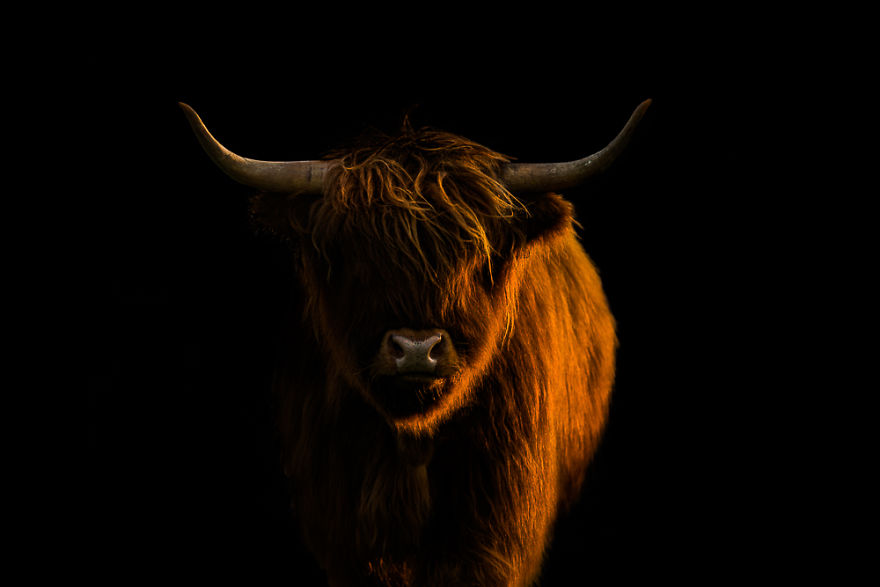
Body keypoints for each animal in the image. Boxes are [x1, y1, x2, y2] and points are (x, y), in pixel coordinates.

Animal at [181, 99, 650, 586]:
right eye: (356, 257)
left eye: (476, 257)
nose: (416, 349)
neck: (413, 441)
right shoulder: (342, 532)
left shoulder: (493, 535)